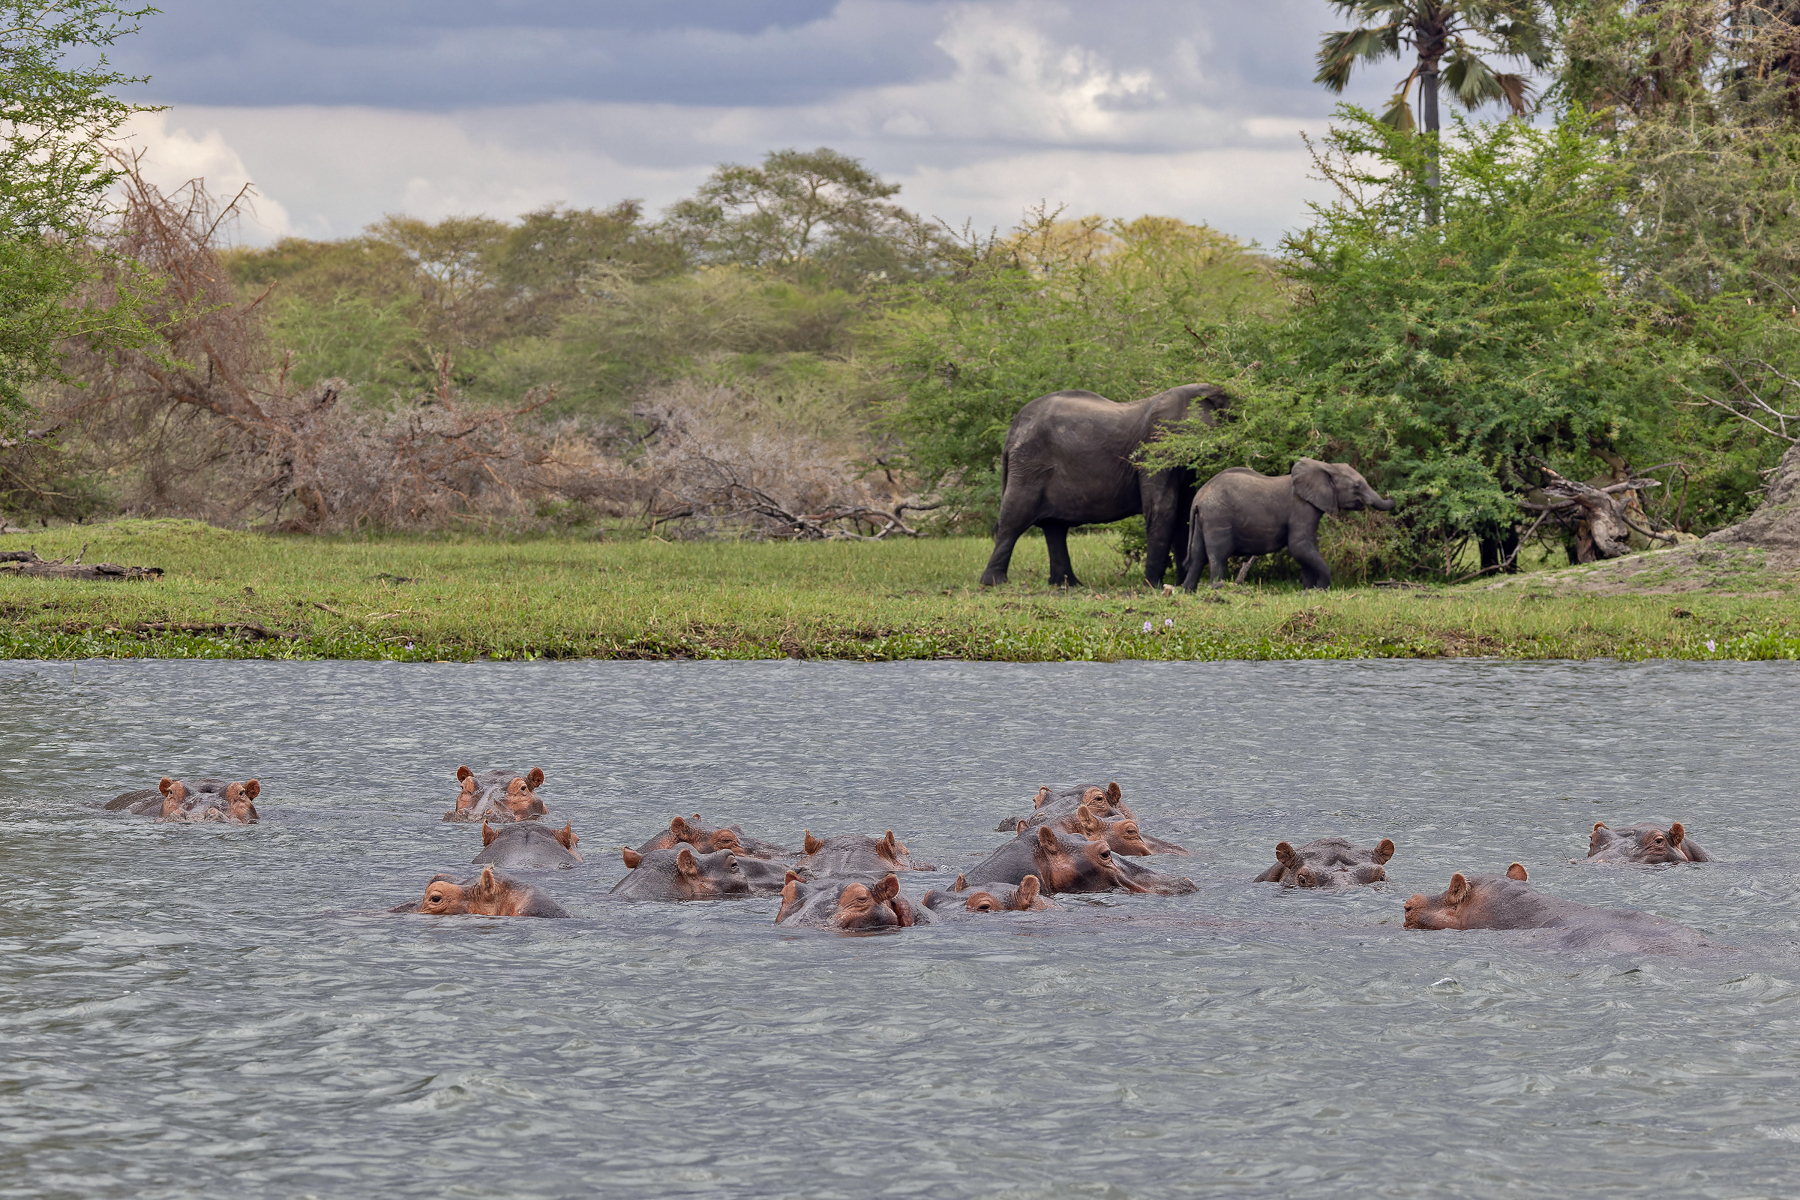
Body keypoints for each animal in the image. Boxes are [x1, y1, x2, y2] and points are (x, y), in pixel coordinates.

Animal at [981, 383, 1230, 587]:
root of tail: (1013, 429)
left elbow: (1184, 512)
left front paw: (1178, 584)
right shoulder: (1157, 446)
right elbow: (1163, 509)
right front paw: (1153, 586)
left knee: (1055, 527)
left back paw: (1067, 584)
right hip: (1029, 465)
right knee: (1014, 519)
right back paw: (995, 583)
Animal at [1181, 458, 1395, 591]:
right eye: (1356, 486)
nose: (1392, 497)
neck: (1325, 467)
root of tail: (1198, 498)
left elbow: (1306, 547)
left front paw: (1309, 589)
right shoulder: (1302, 507)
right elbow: (1299, 546)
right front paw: (1320, 589)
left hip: (1203, 520)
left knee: (1198, 555)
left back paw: (1188, 592)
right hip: (1217, 517)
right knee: (1218, 554)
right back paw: (1218, 588)